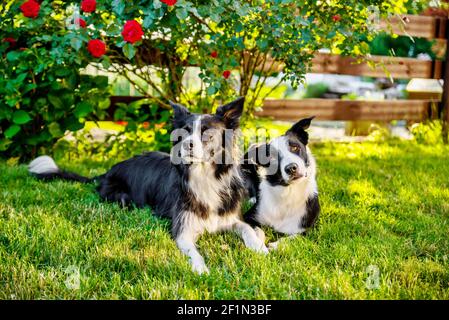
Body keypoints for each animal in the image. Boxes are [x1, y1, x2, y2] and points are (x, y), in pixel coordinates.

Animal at [28, 97, 266, 272]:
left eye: (207, 133)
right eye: (185, 131)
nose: (186, 145)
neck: (204, 176)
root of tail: (108, 171)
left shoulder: (229, 217)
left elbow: (247, 228)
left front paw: (259, 247)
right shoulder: (182, 230)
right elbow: (194, 252)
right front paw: (201, 270)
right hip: (122, 197)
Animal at [242, 117, 318, 248]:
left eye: (295, 148)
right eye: (271, 157)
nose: (291, 168)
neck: (288, 192)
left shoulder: (307, 229)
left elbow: (293, 238)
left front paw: (275, 245)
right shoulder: (248, 217)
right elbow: (255, 229)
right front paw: (258, 244)